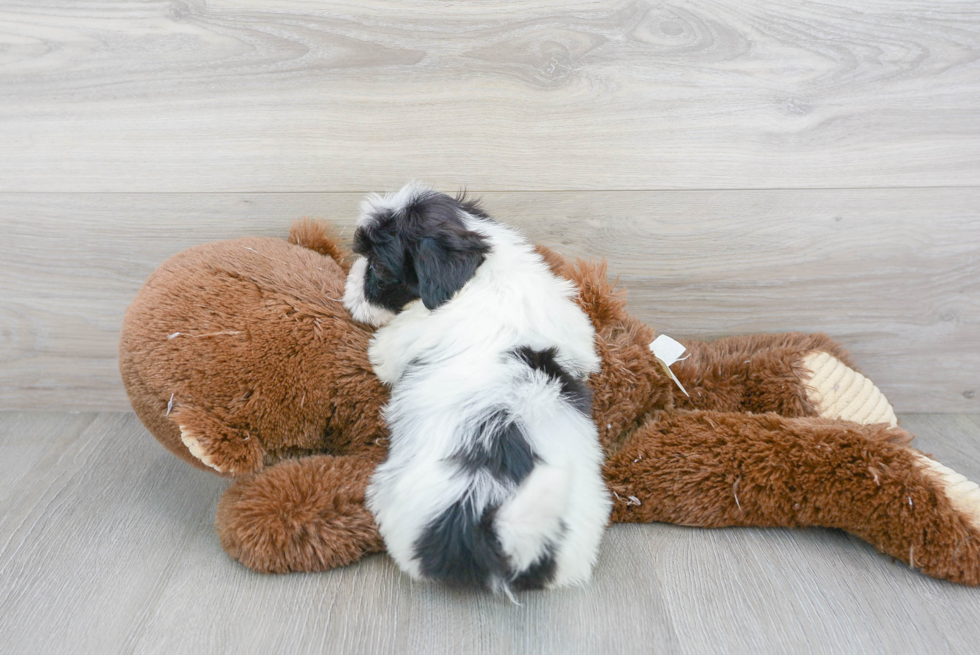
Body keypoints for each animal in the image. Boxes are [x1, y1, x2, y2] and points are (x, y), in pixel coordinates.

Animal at [340, 183, 608, 596]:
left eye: (380, 268)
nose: (350, 285)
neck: (479, 276)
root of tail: (500, 534)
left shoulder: (404, 338)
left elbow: (386, 352)